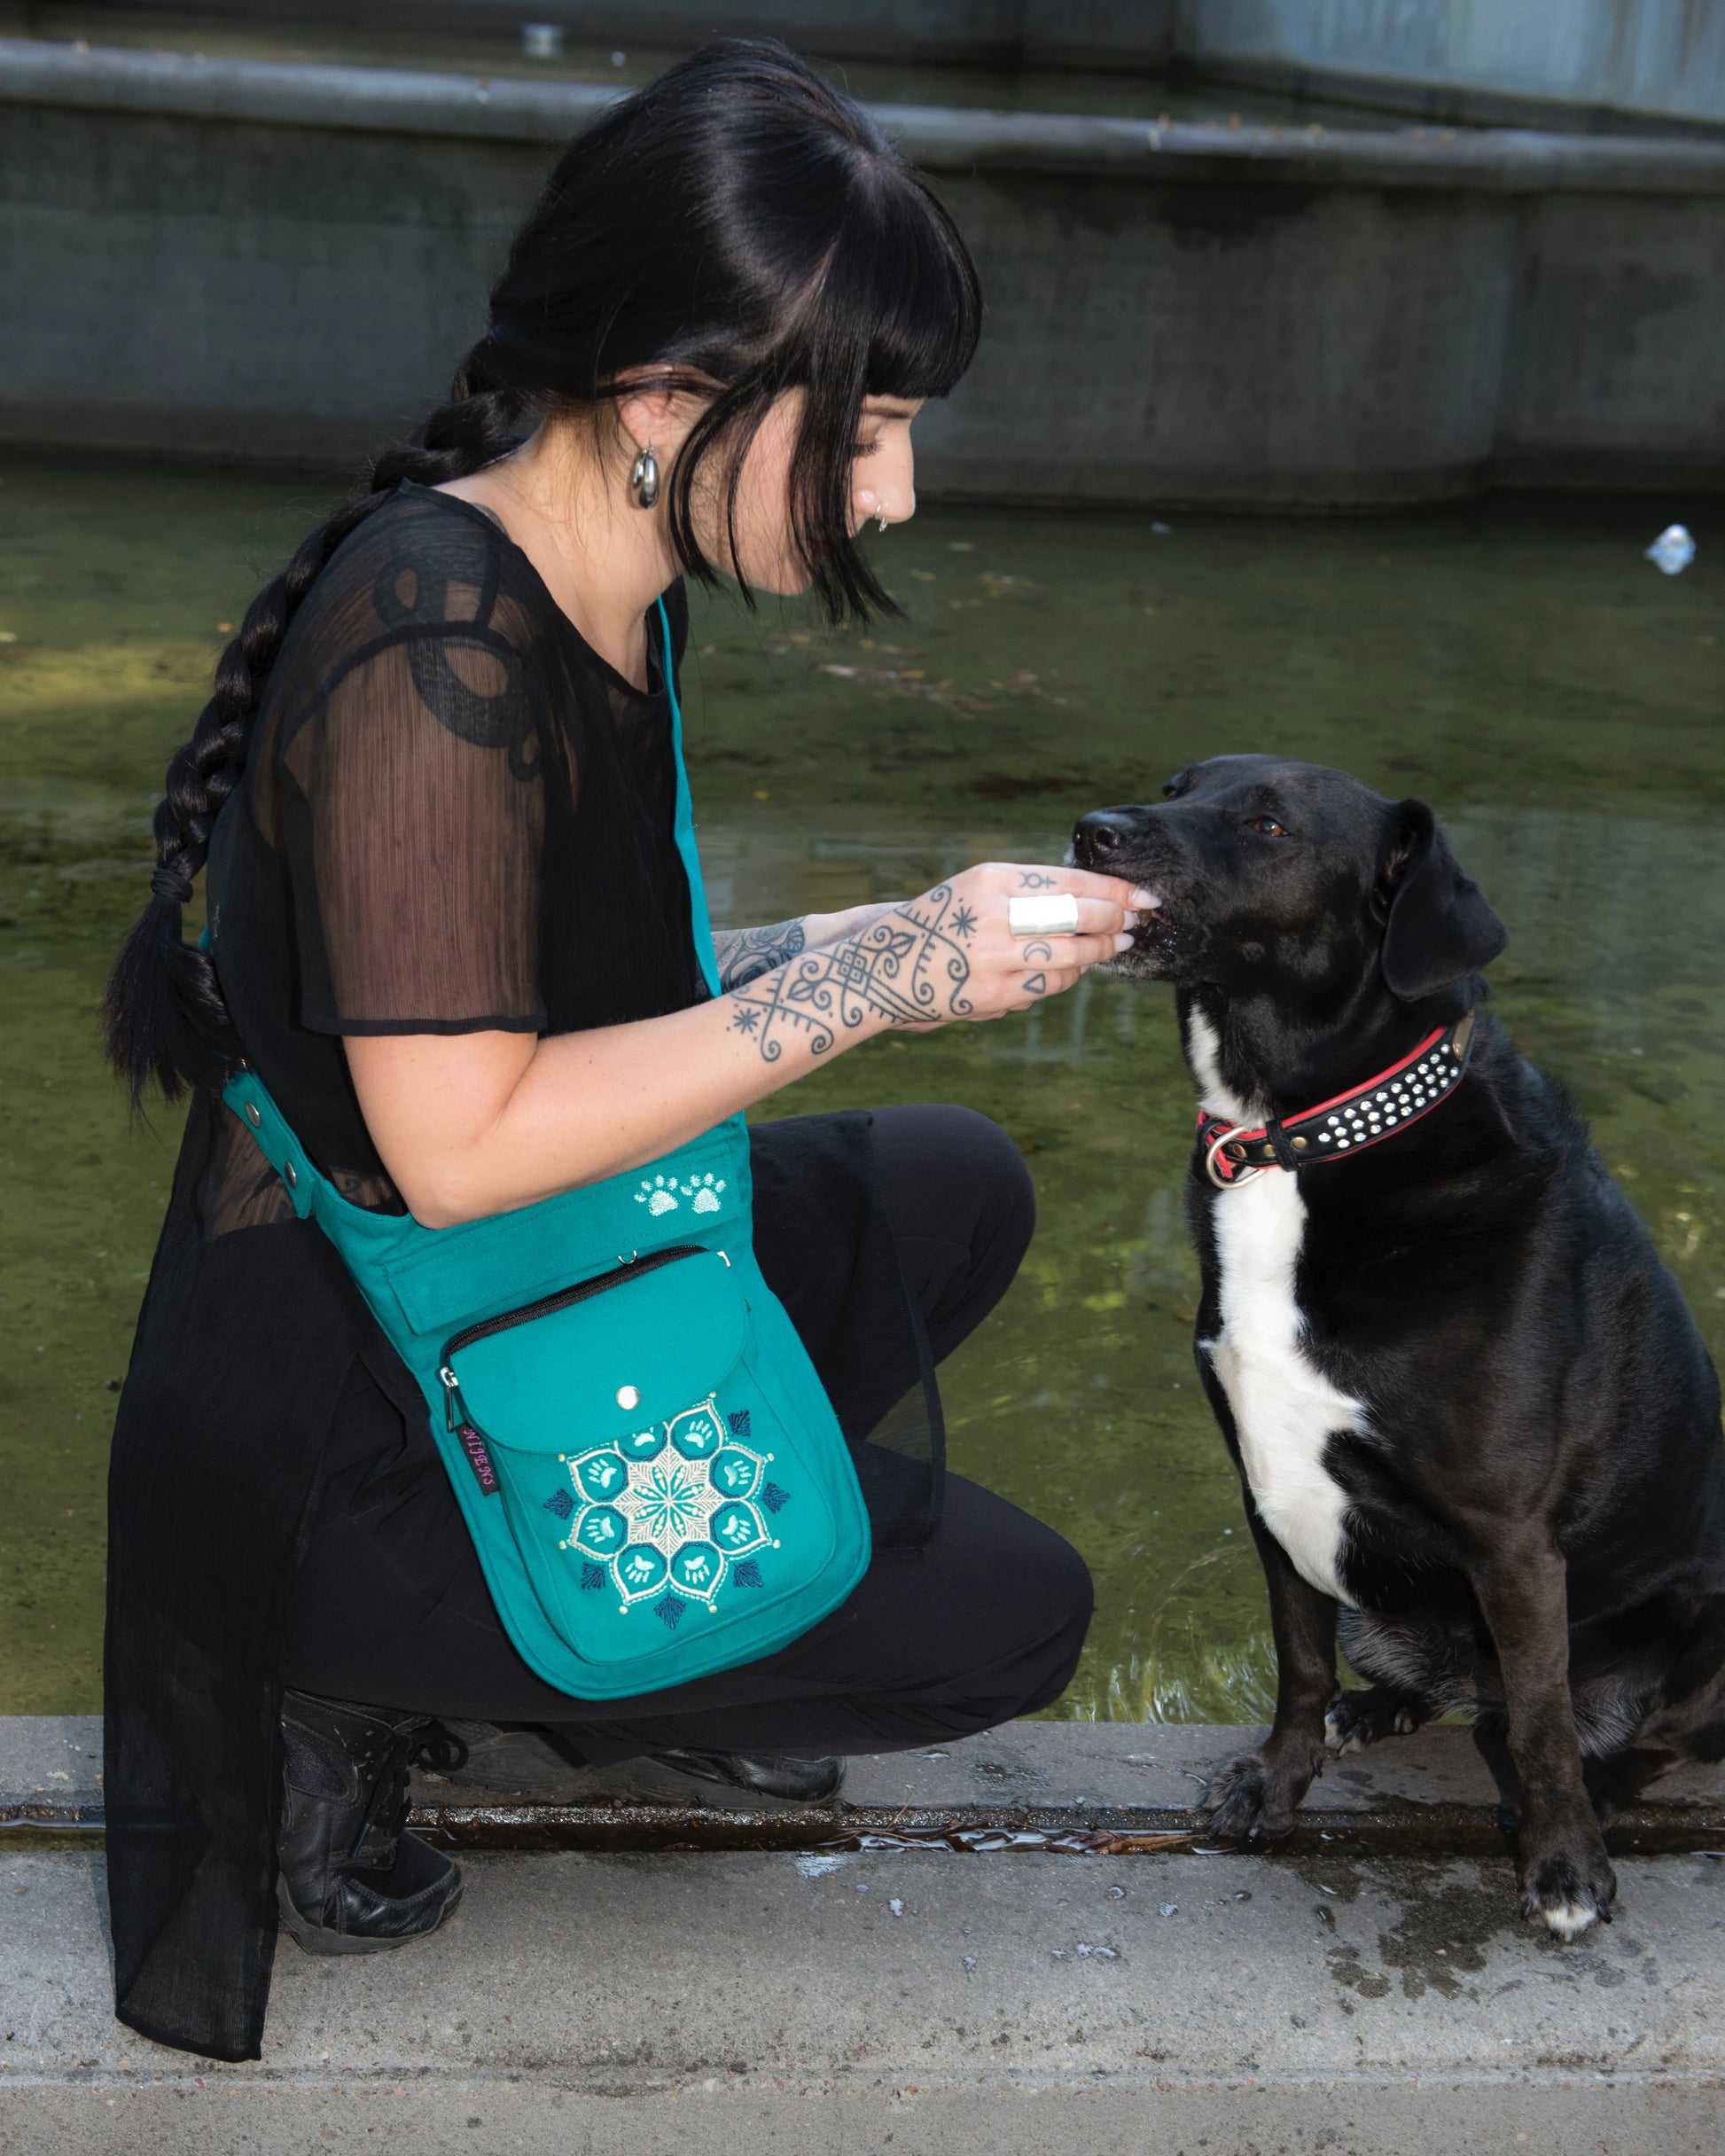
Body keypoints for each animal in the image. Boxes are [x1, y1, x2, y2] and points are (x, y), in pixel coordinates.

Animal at [1069, 759, 1724, 1940]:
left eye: (1267, 823)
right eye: (1175, 784)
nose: (1089, 833)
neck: (1296, 1134)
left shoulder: (1511, 1536)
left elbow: (1544, 1726)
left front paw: (1564, 1866)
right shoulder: (1270, 1493)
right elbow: (1295, 1662)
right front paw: (1275, 1787)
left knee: (1618, 1730)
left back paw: (1598, 1787)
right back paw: (1378, 1708)